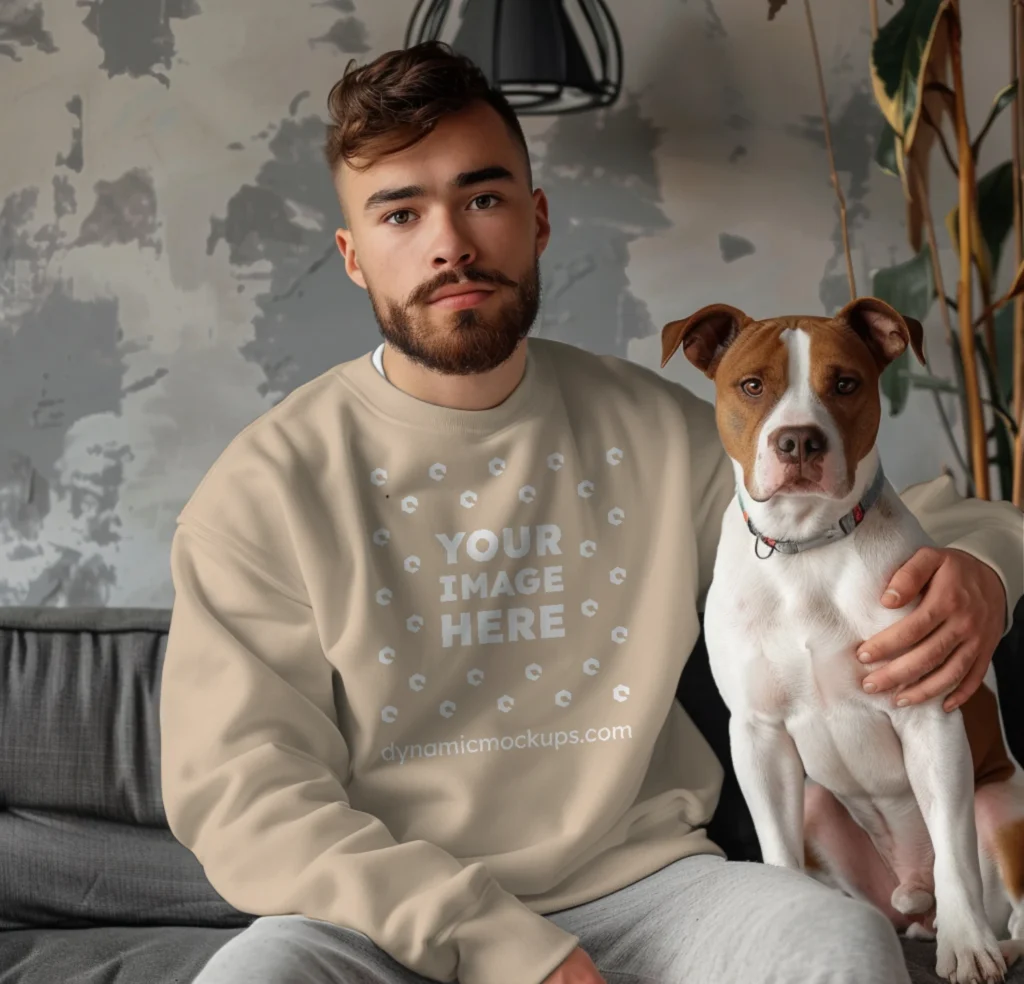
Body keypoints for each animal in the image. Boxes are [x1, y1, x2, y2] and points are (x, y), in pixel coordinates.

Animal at [659, 294, 1024, 978]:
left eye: (846, 384)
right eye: (752, 386)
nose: (798, 439)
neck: (807, 547)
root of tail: (912, 896)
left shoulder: (928, 716)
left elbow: (954, 849)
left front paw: (967, 949)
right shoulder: (758, 734)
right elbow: (776, 851)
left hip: (1003, 806)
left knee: (1005, 903)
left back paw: (987, 940)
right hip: (818, 806)